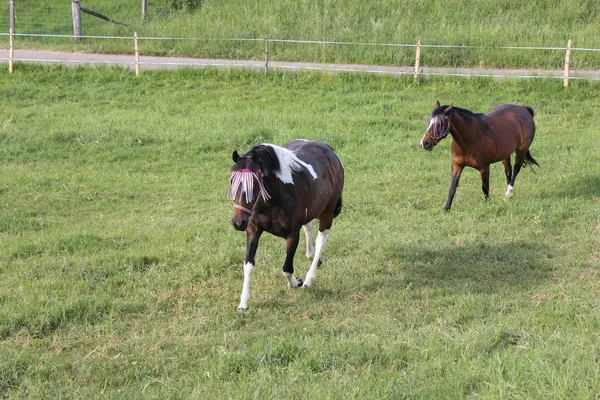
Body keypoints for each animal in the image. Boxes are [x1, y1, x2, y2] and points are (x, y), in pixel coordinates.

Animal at [229, 141, 344, 312]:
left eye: (255, 183)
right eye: (232, 181)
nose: (238, 223)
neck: (274, 199)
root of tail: (329, 150)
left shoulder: (292, 235)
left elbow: (287, 268)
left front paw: (297, 282)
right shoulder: (253, 230)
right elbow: (248, 265)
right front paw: (243, 303)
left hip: (328, 211)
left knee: (321, 239)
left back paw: (309, 278)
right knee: (308, 227)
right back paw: (312, 256)